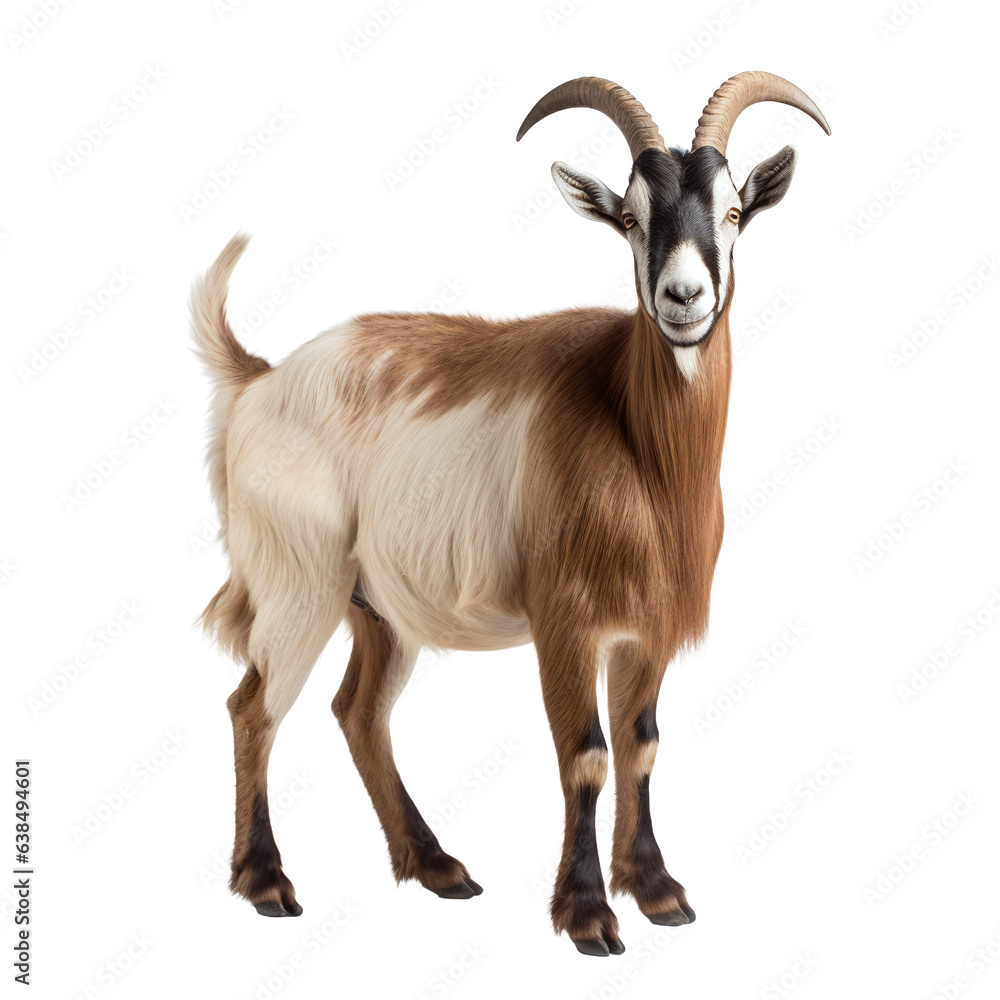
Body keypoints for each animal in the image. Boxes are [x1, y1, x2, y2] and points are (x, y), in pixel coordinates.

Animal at [193, 72, 829, 956]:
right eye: (631, 218)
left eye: (735, 210)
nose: (684, 298)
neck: (637, 441)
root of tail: (257, 380)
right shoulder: (564, 620)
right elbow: (585, 752)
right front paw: (589, 915)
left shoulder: (645, 628)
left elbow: (640, 747)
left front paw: (657, 891)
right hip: (299, 583)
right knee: (254, 706)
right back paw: (266, 882)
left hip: (378, 608)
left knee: (358, 711)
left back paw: (437, 867)